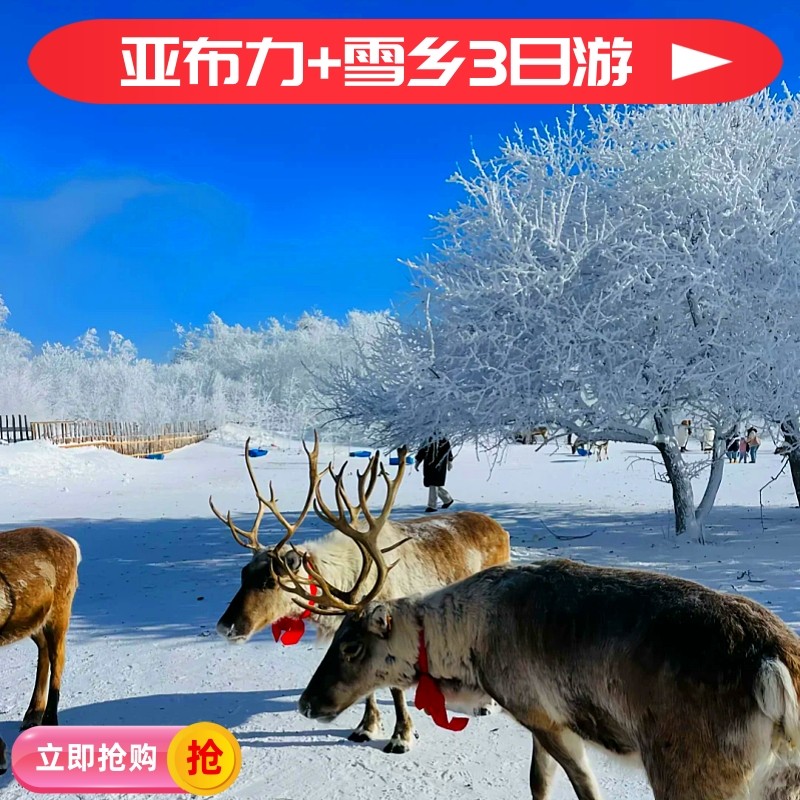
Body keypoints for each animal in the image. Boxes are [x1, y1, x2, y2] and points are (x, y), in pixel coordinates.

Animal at [0, 526, 81, 775]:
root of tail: (71, 543)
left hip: (60, 608)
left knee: (58, 657)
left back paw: (49, 720)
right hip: (34, 621)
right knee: (44, 649)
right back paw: (33, 714)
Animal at [210, 432, 510, 754]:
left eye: (270, 582)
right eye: (243, 574)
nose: (225, 627)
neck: (345, 579)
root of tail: (499, 527)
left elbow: (395, 690)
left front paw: (401, 736)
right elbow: (367, 689)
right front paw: (366, 726)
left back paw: (486, 705)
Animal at [297, 541, 800, 800]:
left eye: (351, 645)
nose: (306, 703)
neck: (468, 646)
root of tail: (774, 662)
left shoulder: (545, 716)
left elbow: (586, 790)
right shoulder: (541, 721)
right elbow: (539, 783)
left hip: (690, 771)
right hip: (781, 780)